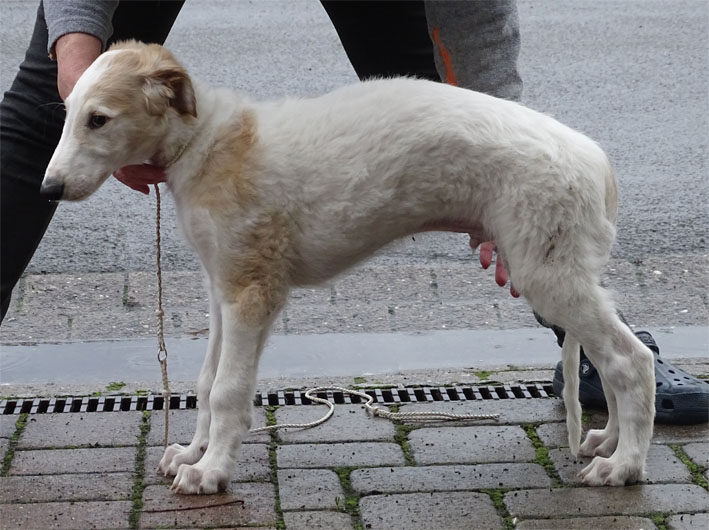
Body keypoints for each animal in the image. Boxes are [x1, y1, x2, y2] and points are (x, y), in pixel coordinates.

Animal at [41, 41, 655, 493]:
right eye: (69, 115)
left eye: (99, 119)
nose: (48, 189)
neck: (208, 141)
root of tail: (595, 160)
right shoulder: (221, 288)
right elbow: (207, 380)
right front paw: (192, 454)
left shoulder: (252, 292)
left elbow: (228, 392)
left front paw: (211, 473)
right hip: (564, 273)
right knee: (614, 360)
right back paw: (607, 441)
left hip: (548, 274)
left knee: (631, 361)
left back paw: (624, 465)